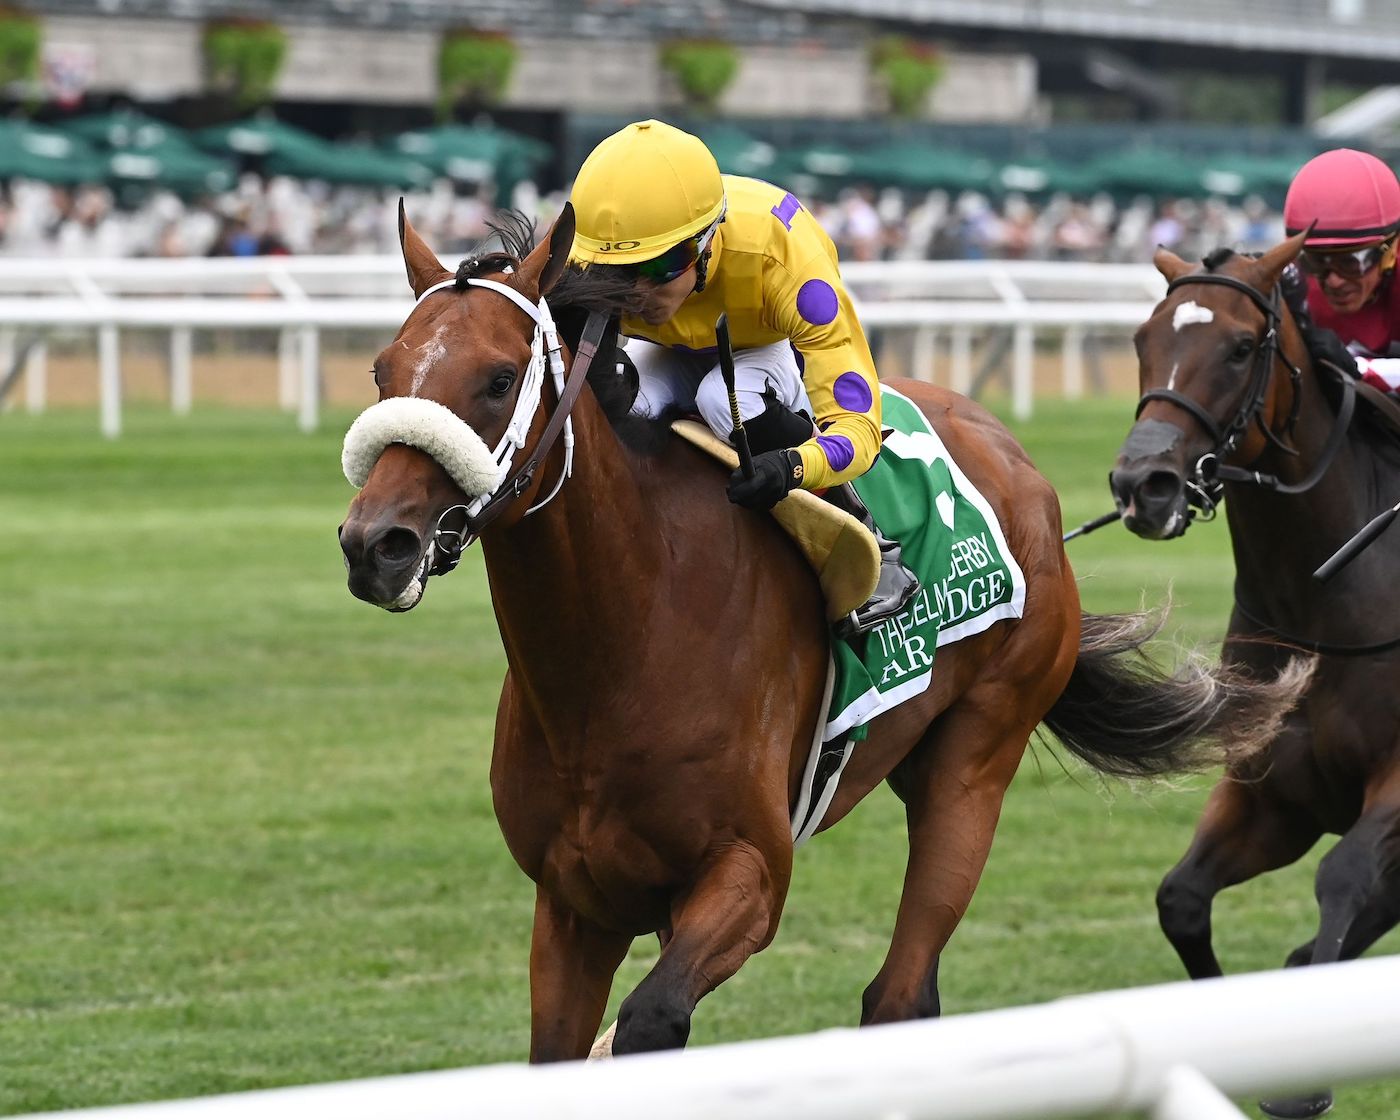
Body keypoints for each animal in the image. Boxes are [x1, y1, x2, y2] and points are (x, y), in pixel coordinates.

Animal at [336, 203, 1299, 1069]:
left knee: (900, 989)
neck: (618, 654)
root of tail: (1019, 463)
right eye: (384, 371)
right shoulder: (574, 903)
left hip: (975, 762)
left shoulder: (749, 878)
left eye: (499, 378)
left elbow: (651, 1022)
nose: (376, 545)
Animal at [1114, 229, 1400, 1120]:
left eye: (1242, 347)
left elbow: (1347, 879)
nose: (1143, 484)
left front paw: (1307, 1072)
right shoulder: (1274, 796)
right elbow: (1182, 901)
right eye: (1142, 340)